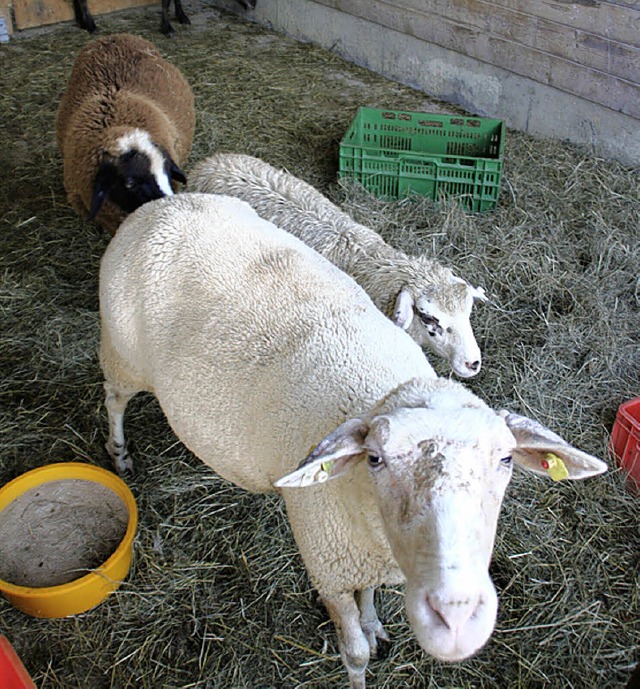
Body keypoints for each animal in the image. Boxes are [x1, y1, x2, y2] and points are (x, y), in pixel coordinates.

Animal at [97, 192, 608, 688]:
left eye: (506, 460)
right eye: (376, 459)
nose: (456, 615)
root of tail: (160, 207)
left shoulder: (364, 559)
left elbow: (370, 601)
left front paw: (374, 623)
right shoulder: (330, 569)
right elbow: (355, 653)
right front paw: (362, 649)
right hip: (121, 353)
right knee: (114, 399)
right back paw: (119, 456)